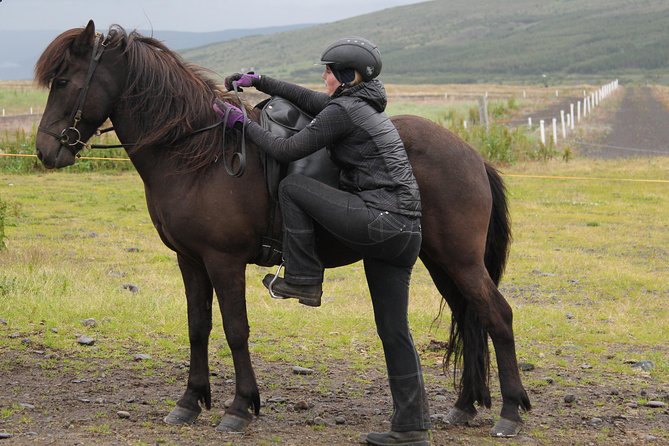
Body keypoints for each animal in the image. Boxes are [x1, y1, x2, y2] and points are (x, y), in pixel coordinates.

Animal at [34, 21, 530, 437]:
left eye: (64, 81)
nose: (44, 150)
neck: (198, 154)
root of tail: (470, 154)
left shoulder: (223, 261)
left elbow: (235, 329)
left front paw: (240, 407)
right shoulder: (190, 261)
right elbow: (198, 327)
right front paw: (190, 402)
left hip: (459, 260)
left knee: (497, 316)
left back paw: (509, 412)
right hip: (437, 260)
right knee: (470, 319)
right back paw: (465, 407)